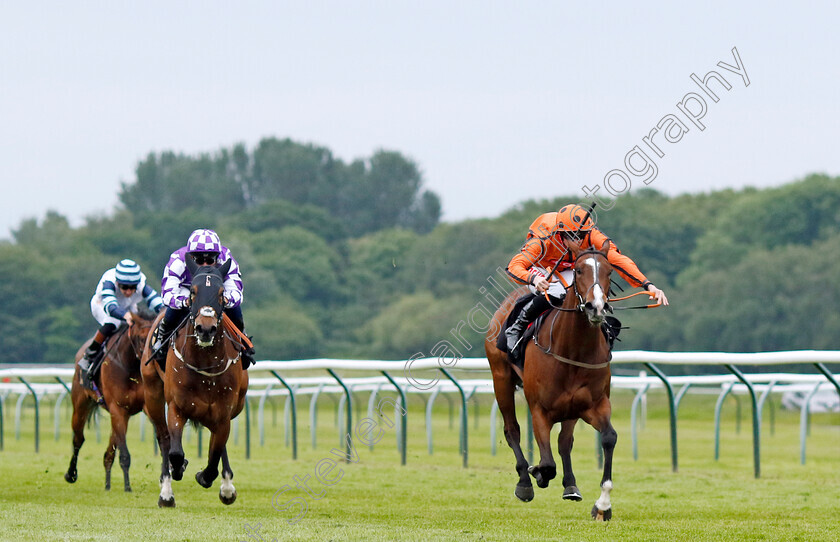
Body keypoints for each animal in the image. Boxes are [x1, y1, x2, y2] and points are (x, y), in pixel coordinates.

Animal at [64, 310, 156, 492]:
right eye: (141, 338)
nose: (148, 361)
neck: (130, 366)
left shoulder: (143, 407)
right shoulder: (117, 408)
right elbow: (125, 454)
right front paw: (127, 487)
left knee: (109, 451)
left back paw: (107, 483)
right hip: (80, 405)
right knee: (78, 439)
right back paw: (71, 474)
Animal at [141, 260, 249, 510]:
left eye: (221, 294)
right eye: (192, 292)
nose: (205, 329)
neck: (205, 364)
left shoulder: (223, 412)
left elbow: (215, 455)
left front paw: (212, 480)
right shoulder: (176, 407)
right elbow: (175, 451)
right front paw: (178, 469)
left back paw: (226, 486)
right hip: (152, 396)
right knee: (164, 439)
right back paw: (166, 492)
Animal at [488, 242, 620, 524]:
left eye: (610, 271)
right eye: (579, 270)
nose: (596, 307)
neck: (573, 349)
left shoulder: (595, 405)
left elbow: (608, 438)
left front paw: (602, 505)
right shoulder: (539, 408)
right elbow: (547, 464)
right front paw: (535, 472)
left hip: (570, 409)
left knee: (564, 441)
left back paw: (570, 485)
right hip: (500, 378)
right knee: (512, 430)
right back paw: (525, 482)